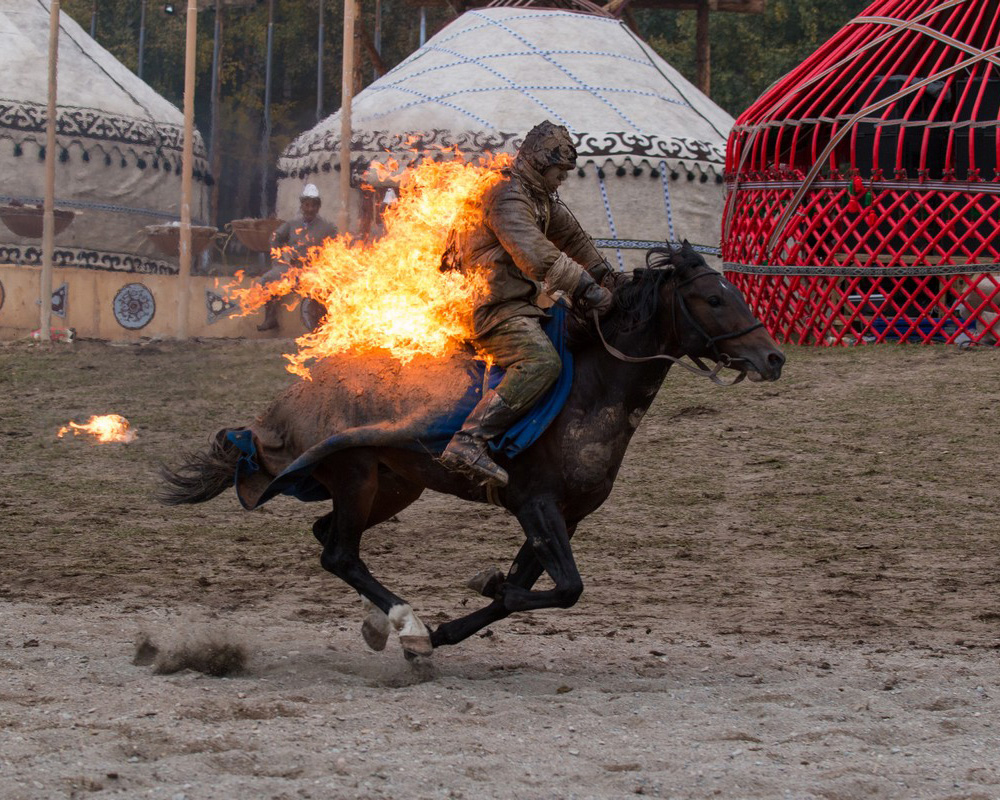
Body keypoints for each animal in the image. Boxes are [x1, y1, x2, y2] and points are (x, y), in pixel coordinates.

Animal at [160, 242, 784, 656]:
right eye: (713, 299)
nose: (773, 357)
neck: (589, 391)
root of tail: (274, 415)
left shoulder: (565, 517)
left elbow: (528, 592)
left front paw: (458, 619)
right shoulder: (536, 504)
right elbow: (565, 589)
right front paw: (465, 601)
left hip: (394, 487)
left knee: (331, 541)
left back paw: (386, 625)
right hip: (357, 476)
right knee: (337, 553)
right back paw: (405, 622)